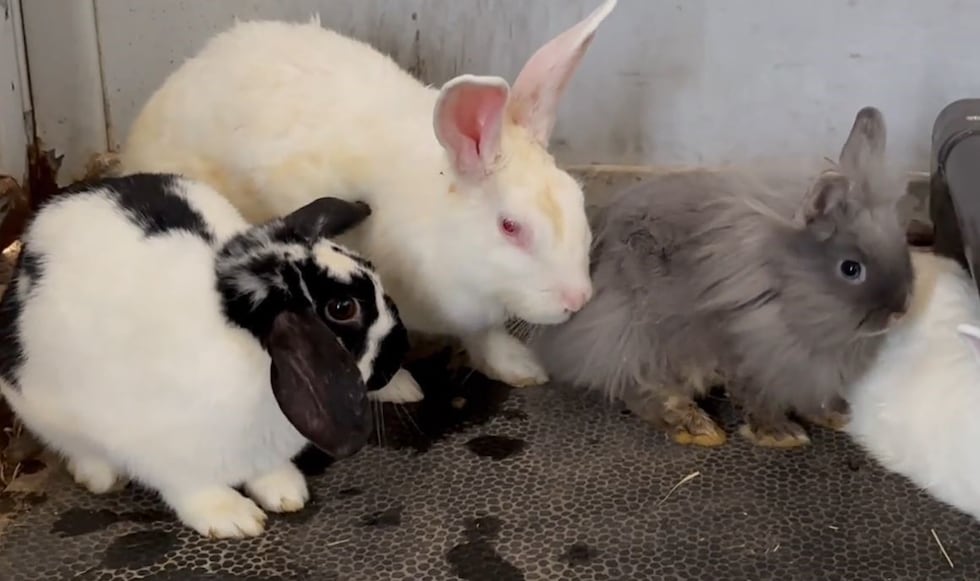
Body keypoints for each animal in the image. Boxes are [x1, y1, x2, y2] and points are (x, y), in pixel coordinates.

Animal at [0, 173, 409, 538]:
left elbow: (266, 472)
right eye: (343, 308)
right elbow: (191, 487)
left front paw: (285, 491)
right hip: (38, 406)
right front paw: (233, 518)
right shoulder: (164, 453)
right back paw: (100, 476)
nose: (399, 352)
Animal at [115, 1, 619, 404]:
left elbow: (485, 335)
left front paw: (520, 368)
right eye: (510, 226)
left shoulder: (475, 312)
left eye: (577, 198)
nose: (578, 299)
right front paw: (400, 390)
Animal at [523, 106, 914, 449]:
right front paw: (781, 436)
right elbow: (756, 398)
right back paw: (696, 428)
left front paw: (835, 415)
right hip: (636, 337)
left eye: (904, 243)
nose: (901, 311)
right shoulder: (747, 354)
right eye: (851, 268)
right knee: (639, 388)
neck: (782, 289)